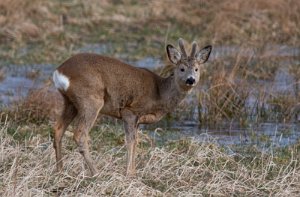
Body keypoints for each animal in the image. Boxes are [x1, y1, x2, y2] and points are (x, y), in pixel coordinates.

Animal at [52, 37, 212, 176]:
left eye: (197, 69)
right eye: (182, 68)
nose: (190, 80)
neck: (160, 93)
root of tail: (60, 71)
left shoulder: (138, 120)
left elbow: (136, 142)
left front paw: (134, 173)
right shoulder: (130, 111)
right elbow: (130, 141)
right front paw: (128, 173)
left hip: (70, 102)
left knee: (58, 129)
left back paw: (60, 170)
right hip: (91, 99)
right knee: (80, 134)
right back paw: (96, 173)